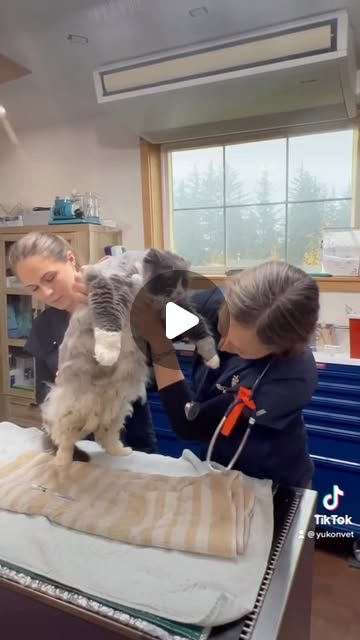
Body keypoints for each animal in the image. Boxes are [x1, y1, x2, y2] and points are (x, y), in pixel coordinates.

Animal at [40, 250, 218, 464]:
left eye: (184, 282)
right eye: (168, 279)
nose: (178, 293)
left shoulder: (174, 311)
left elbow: (200, 327)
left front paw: (212, 358)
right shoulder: (109, 286)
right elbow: (109, 320)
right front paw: (107, 353)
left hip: (117, 412)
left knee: (104, 436)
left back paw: (120, 452)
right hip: (71, 411)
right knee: (65, 441)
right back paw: (62, 462)